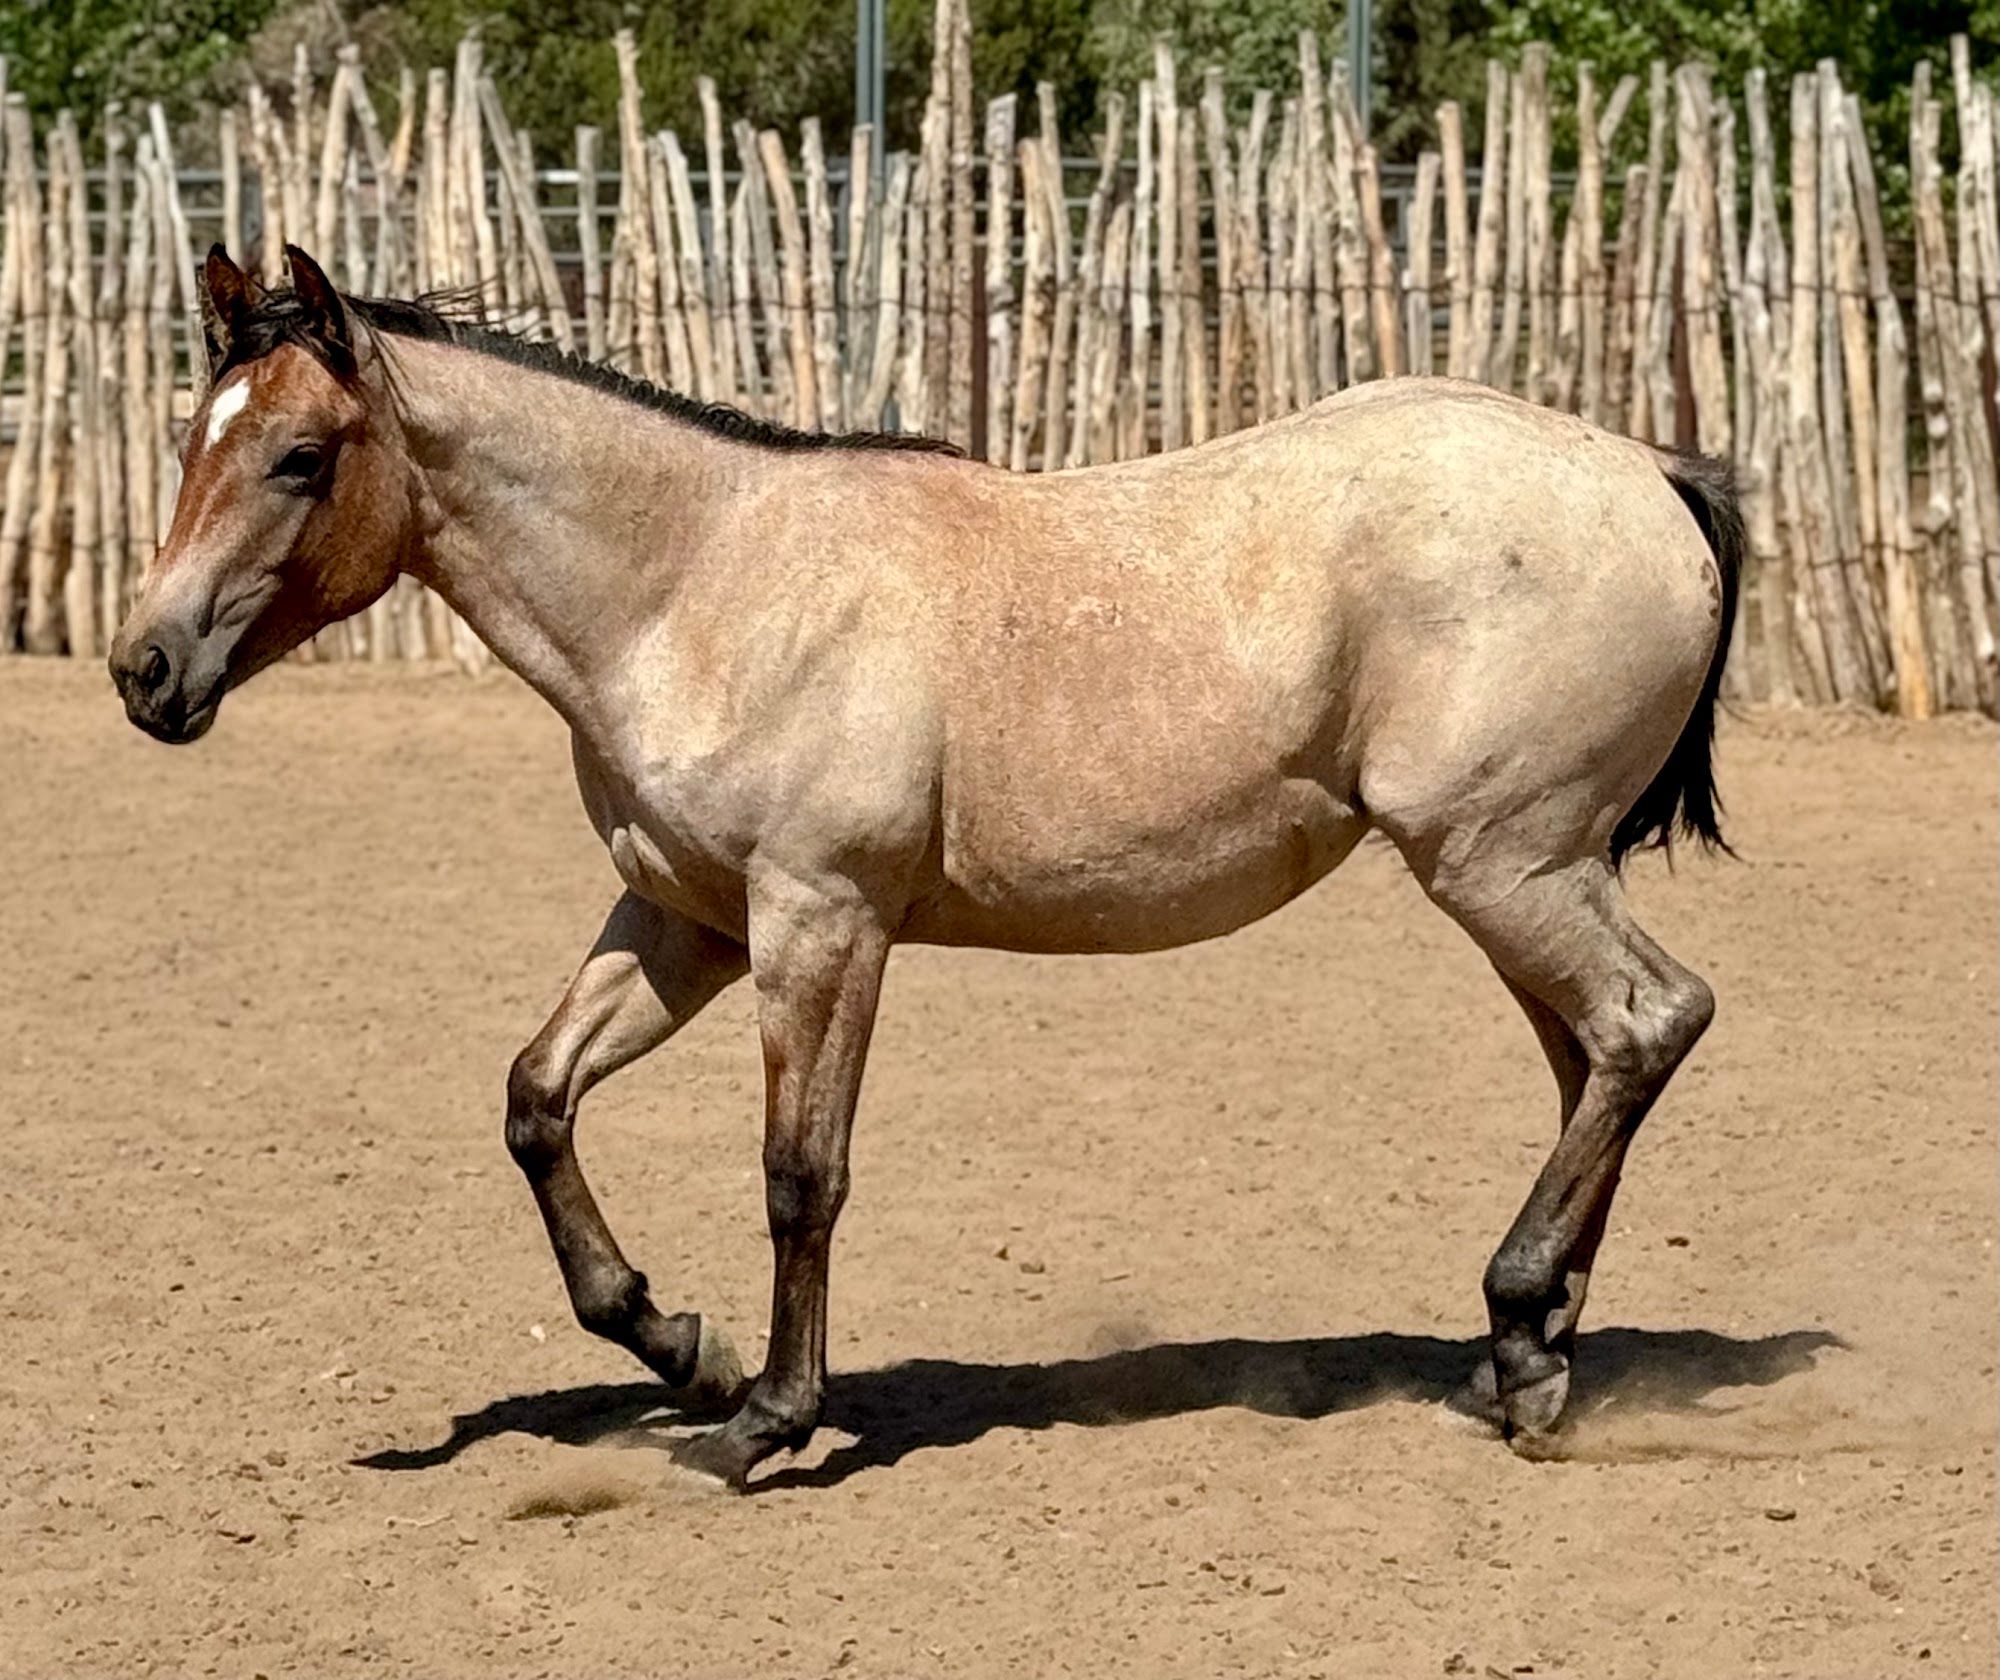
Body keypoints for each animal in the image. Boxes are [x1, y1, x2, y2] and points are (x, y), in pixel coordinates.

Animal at [110, 244, 1739, 1488]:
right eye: (192, 438)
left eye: (301, 456)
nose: (145, 668)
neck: (702, 586)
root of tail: (1647, 473)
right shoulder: (685, 921)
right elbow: (536, 1099)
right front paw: (678, 1347)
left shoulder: (818, 923)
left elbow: (799, 1173)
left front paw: (764, 1420)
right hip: (1523, 880)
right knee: (1593, 1059)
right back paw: (1528, 1362)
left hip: (1503, 865)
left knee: (1649, 1024)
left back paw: (1520, 1325)